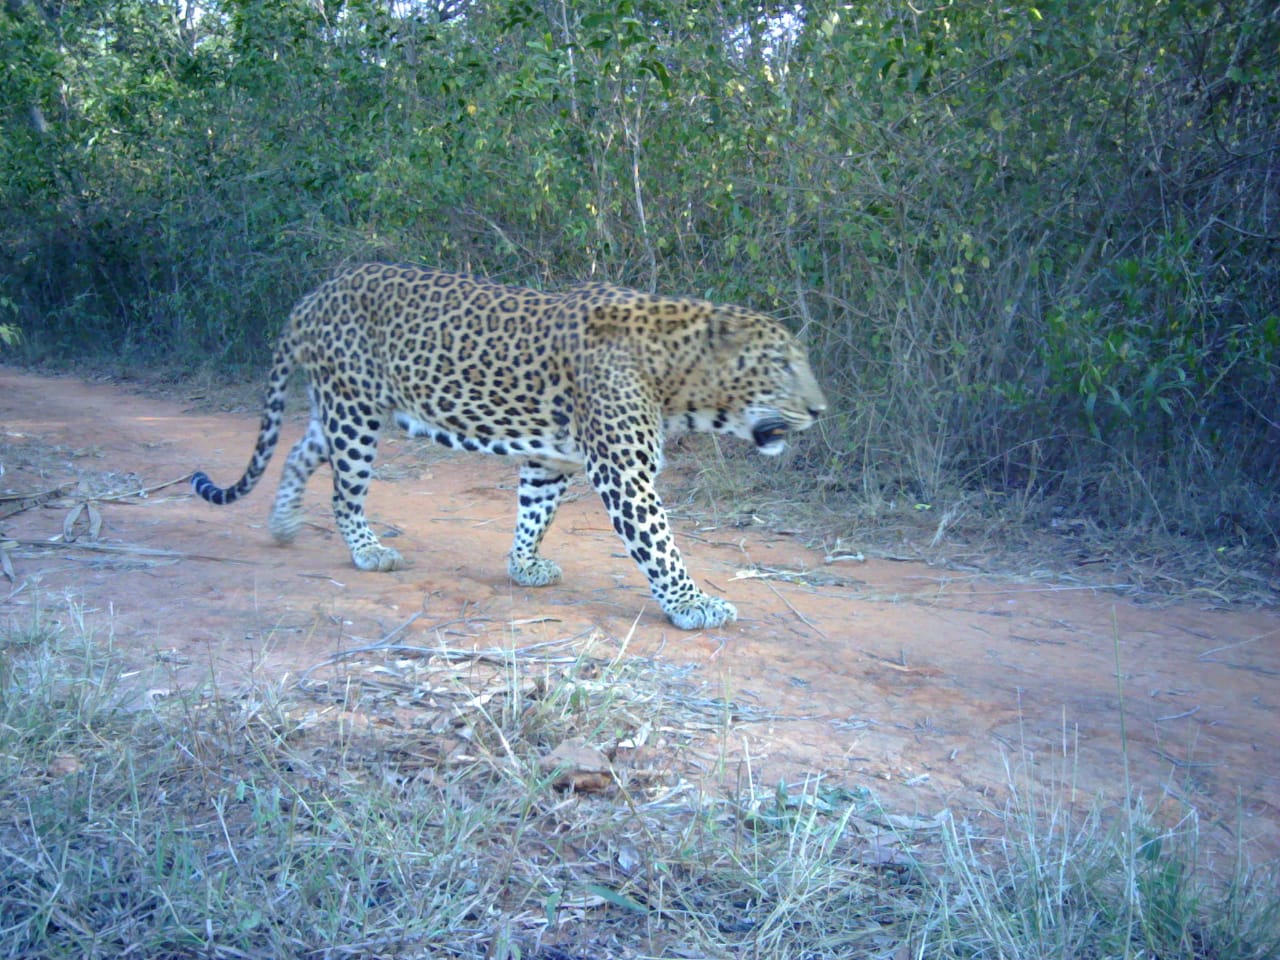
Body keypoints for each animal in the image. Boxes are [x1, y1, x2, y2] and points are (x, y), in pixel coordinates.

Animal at [189, 263, 829, 632]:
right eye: (781, 365)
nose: (822, 411)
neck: (680, 379)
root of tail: (314, 295)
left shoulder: (551, 459)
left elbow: (533, 513)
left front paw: (523, 566)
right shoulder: (623, 472)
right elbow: (659, 544)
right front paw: (692, 603)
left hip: (345, 406)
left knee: (300, 451)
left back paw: (283, 525)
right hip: (355, 413)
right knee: (345, 491)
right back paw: (368, 551)